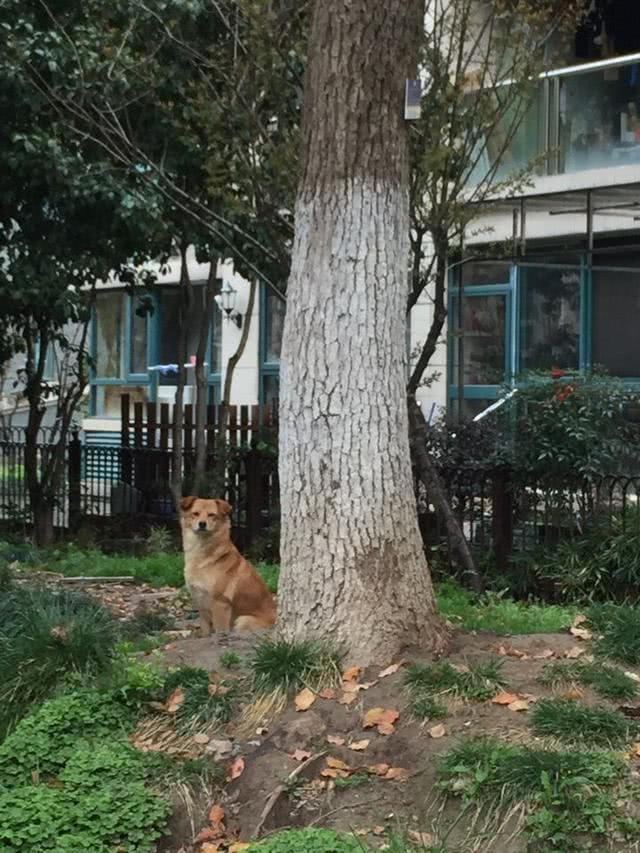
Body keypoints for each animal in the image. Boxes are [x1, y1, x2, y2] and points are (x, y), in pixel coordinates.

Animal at [179, 492, 276, 632]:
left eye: (211, 514)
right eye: (195, 513)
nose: (202, 524)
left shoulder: (220, 603)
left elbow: (220, 630)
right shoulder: (201, 604)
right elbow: (205, 631)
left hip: (242, 620)